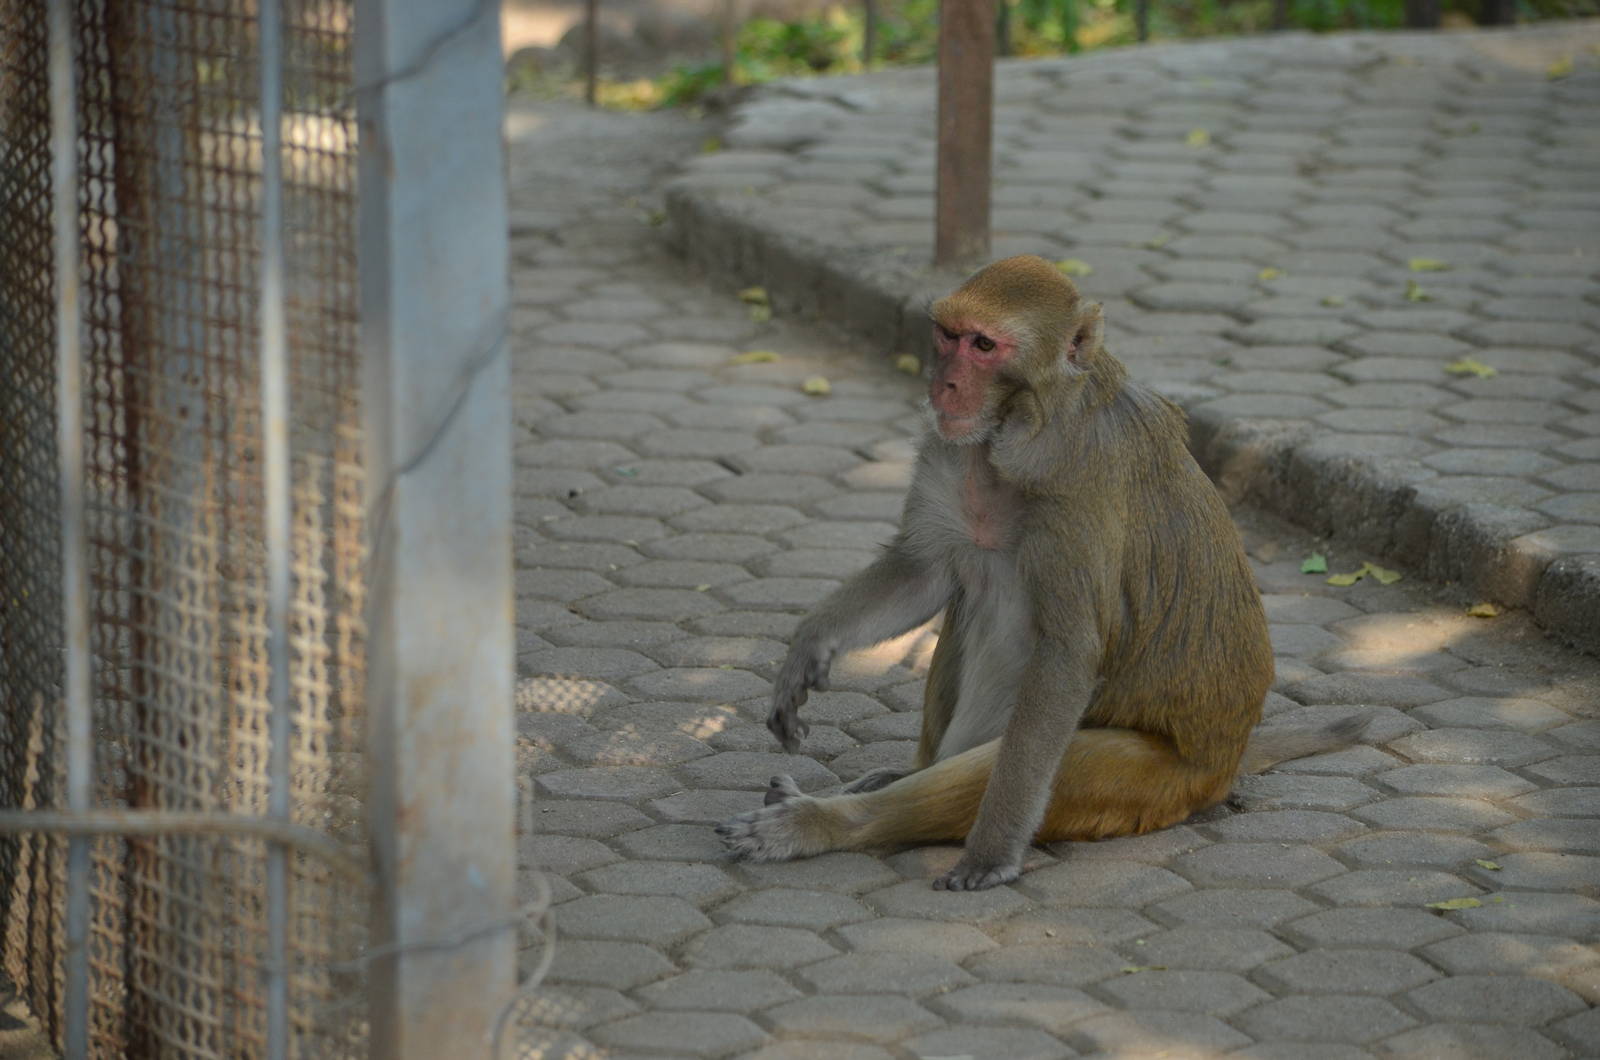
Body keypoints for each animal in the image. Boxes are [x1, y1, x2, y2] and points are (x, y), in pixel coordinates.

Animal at [717, 254, 1363, 891]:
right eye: (948, 336)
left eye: (984, 345)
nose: (943, 384)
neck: (1010, 429)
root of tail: (1225, 762)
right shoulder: (949, 447)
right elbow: (924, 572)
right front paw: (810, 644)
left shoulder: (1077, 481)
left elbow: (1066, 653)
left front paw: (993, 848)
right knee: (970, 595)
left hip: (1152, 780)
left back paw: (825, 822)